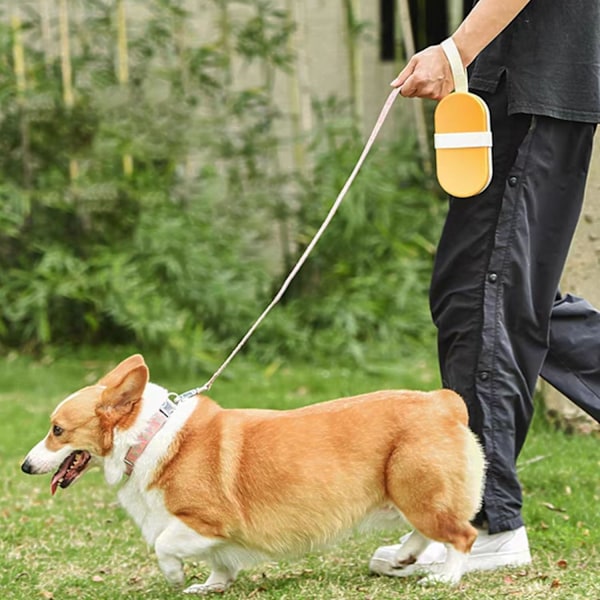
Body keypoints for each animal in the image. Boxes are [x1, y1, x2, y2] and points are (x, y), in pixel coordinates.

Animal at [21, 354, 486, 592]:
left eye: (57, 430)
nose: (25, 466)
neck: (148, 437)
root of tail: (443, 401)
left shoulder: (206, 520)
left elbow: (164, 545)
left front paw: (175, 577)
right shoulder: (213, 538)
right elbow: (218, 563)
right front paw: (210, 585)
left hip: (416, 489)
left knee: (462, 534)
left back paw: (446, 577)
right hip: (409, 494)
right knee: (430, 530)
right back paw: (404, 557)